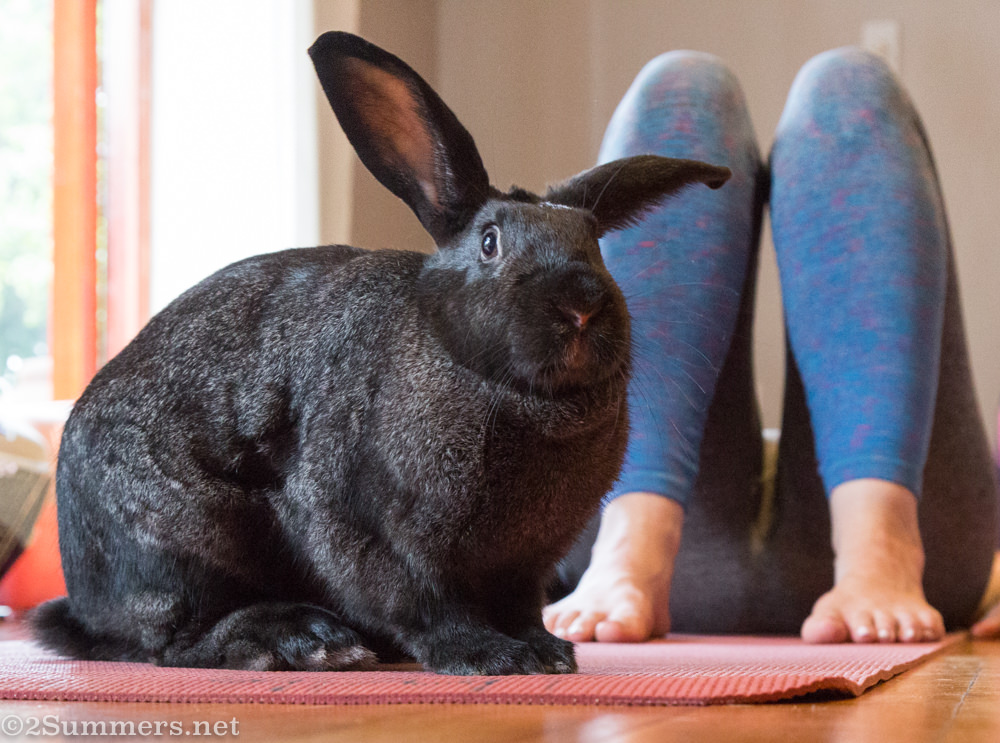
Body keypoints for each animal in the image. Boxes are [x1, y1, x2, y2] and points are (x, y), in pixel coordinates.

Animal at [29, 31, 730, 675]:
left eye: (594, 243)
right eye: (490, 243)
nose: (581, 305)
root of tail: (83, 601)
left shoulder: (523, 567)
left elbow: (521, 608)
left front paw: (547, 651)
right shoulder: (374, 536)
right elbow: (426, 605)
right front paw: (493, 658)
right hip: (186, 541)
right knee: (179, 640)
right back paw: (305, 641)